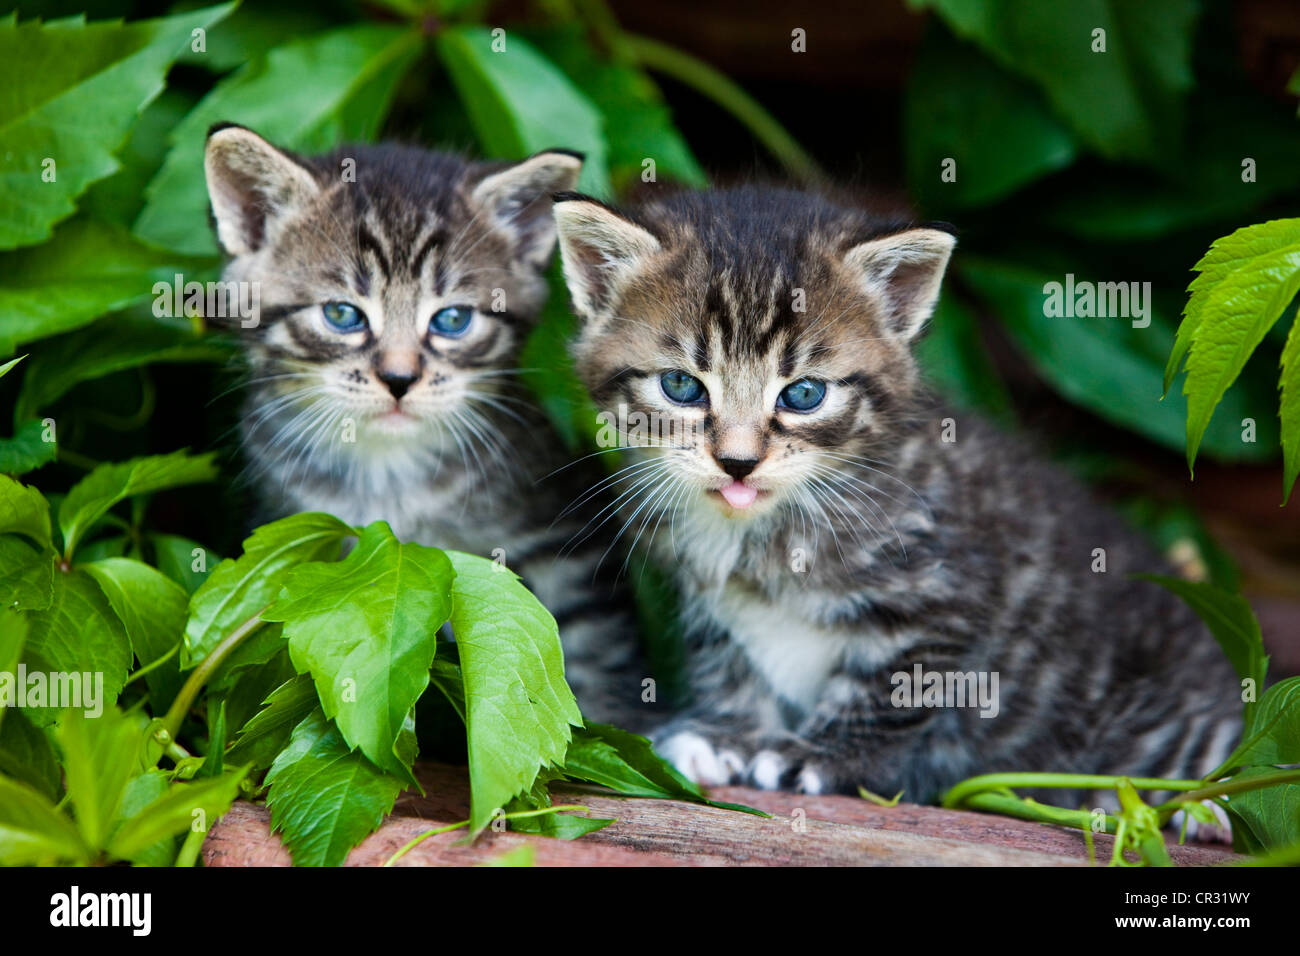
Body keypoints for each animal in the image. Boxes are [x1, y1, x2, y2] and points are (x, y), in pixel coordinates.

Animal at [202, 125, 650, 723]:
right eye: (342, 315)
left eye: (452, 320)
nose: (398, 378)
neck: (390, 473)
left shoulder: (564, 549)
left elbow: (594, 653)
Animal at [546, 183, 1237, 806]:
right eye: (681, 387)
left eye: (803, 394)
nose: (738, 462)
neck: (767, 532)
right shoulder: (711, 601)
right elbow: (732, 663)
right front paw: (727, 735)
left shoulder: (943, 597)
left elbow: (895, 688)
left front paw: (820, 757)